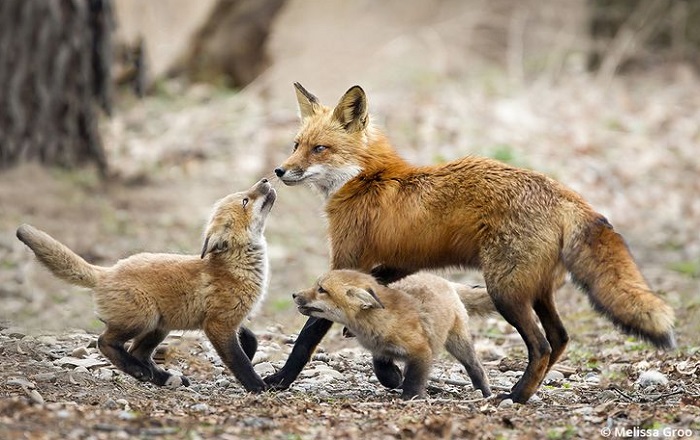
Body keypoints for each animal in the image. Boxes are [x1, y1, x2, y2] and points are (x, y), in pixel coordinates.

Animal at [16, 178, 276, 392]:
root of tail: (106, 272)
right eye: (245, 200)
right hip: (146, 318)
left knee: (136, 352)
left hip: (160, 326)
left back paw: (161, 377)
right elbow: (239, 361)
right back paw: (140, 371)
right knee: (105, 342)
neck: (237, 267)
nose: (265, 179)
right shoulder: (217, 324)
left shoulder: (233, 320)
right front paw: (258, 386)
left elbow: (250, 341)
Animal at [293, 270, 493, 399]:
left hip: (458, 342)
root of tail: (446, 281)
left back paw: (485, 393)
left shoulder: (421, 351)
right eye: (317, 286)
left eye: (322, 289)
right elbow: (382, 371)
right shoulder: (380, 350)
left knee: (475, 367)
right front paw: (395, 378)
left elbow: (414, 379)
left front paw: (411, 397)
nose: (294, 294)